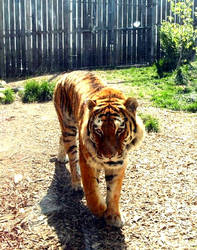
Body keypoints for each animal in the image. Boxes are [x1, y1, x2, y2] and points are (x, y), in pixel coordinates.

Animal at [53, 71, 144, 228]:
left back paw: (61, 157)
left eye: (120, 129)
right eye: (98, 130)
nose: (109, 155)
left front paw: (114, 216)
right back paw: (76, 183)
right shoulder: (87, 161)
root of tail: (66, 74)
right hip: (68, 127)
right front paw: (102, 210)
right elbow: (92, 193)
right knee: (72, 157)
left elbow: (114, 192)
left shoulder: (118, 163)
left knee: (61, 139)